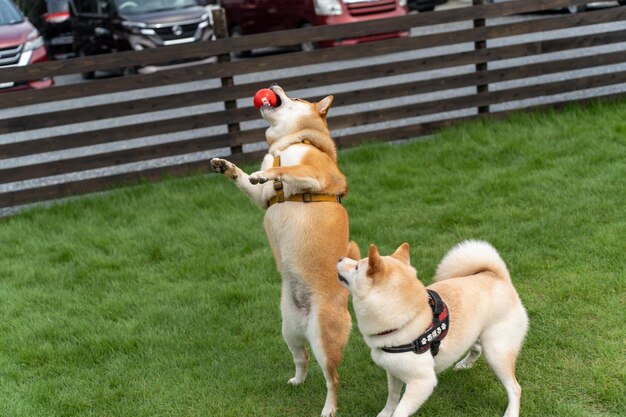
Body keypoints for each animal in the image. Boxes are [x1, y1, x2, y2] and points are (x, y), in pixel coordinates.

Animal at [210, 85, 356, 416]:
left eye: (298, 98)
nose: (274, 87)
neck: (290, 140)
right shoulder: (261, 198)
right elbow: (247, 179)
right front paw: (228, 167)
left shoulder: (312, 174)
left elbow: (287, 168)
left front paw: (268, 173)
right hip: (288, 329)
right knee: (302, 358)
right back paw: (297, 381)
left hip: (324, 337)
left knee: (333, 379)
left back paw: (329, 409)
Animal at [336, 239, 528, 416]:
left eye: (357, 267)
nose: (339, 257)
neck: (409, 319)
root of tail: (498, 277)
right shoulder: (392, 371)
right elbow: (392, 398)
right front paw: (384, 414)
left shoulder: (422, 382)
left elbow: (400, 411)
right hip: (475, 335)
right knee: (477, 349)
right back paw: (464, 365)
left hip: (497, 351)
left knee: (515, 388)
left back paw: (511, 412)